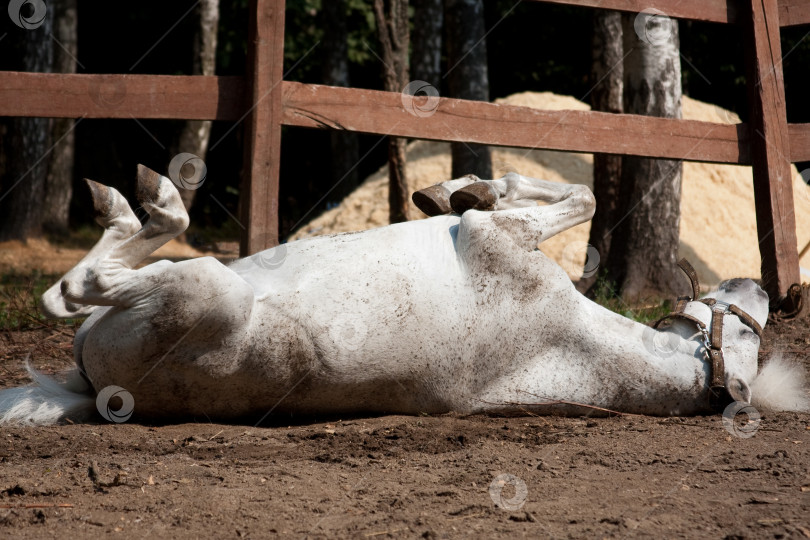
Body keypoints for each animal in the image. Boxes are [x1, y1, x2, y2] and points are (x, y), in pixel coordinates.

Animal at [0, 167, 804, 424]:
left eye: (748, 336)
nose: (764, 288)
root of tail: (94, 389)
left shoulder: (495, 240)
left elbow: (572, 199)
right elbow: (553, 196)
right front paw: (454, 186)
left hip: (204, 284)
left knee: (73, 290)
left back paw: (143, 202)